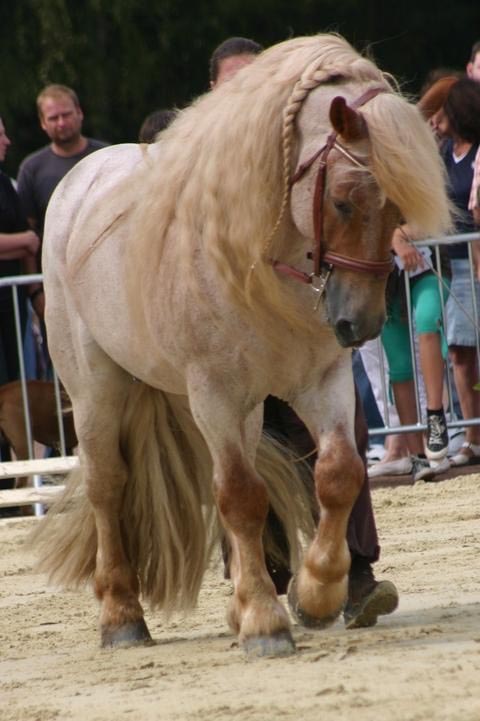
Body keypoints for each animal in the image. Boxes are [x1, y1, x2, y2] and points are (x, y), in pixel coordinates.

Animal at [31, 33, 452, 656]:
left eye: (398, 208)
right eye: (344, 200)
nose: (361, 323)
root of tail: (76, 186)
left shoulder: (321, 383)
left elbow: (339, 474)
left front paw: (318, 592)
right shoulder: (215, 394)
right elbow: (238, 496)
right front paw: (264, 620)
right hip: (96, 390)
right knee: (109, 487)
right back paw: (122, 617)